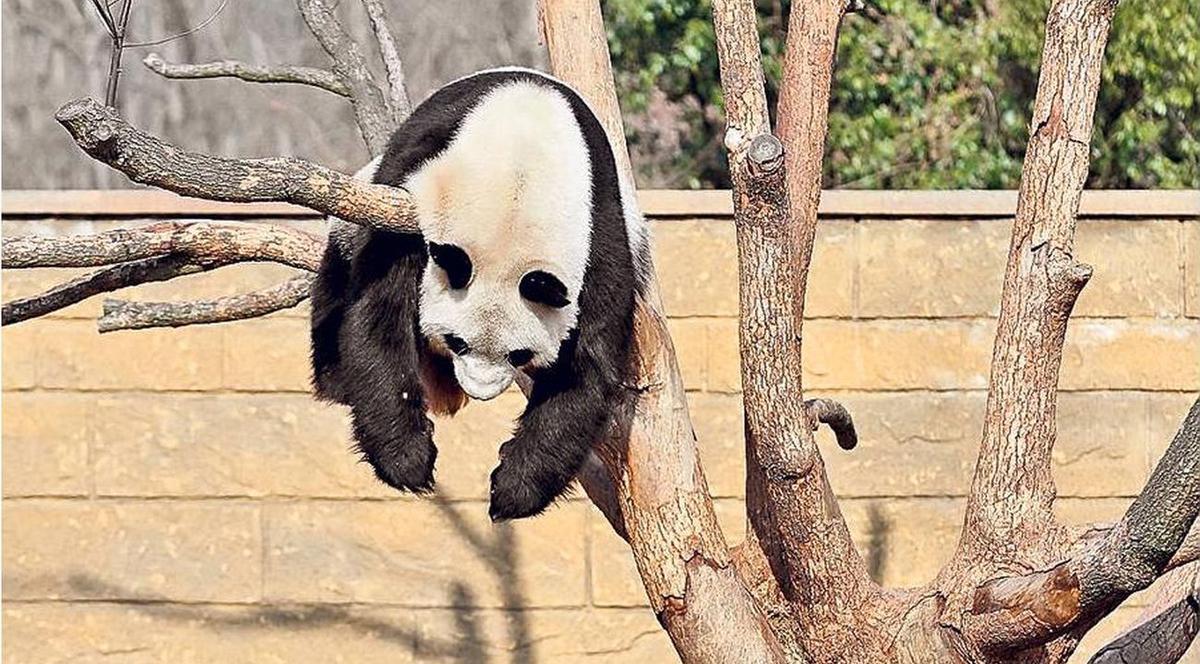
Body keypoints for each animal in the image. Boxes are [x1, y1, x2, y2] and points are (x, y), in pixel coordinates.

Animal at [310, 68, 650, 521]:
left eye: (519, 355)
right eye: (457, 341)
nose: (479, 390)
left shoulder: (599, 230)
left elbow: (585, 368)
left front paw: (512, 489)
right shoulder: (413, 201)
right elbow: (378, 314)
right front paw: (409, 460)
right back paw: (335, 379)